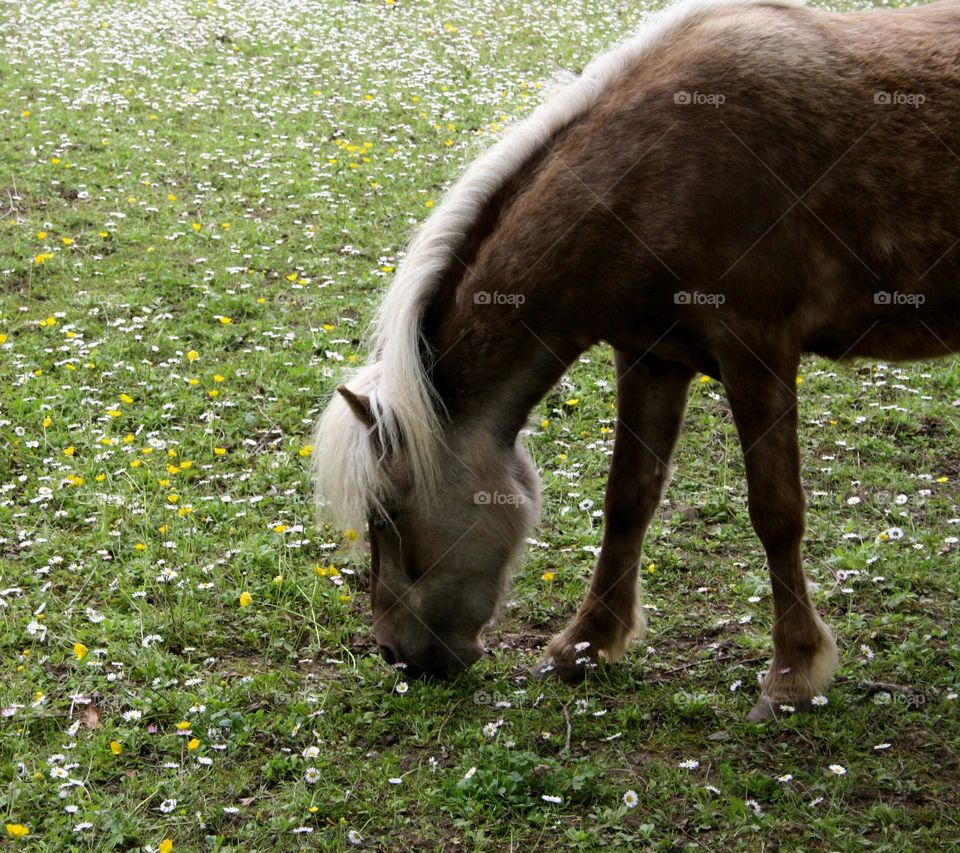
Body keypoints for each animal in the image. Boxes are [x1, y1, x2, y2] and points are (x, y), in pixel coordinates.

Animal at [314, 0, 960, 721]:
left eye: (388, 514)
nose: (396, 654)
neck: (661, 171)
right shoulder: (651, 358)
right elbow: (628, 498)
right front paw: (587, 643)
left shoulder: (758, 353)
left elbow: (776, 513)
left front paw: (793, 672)